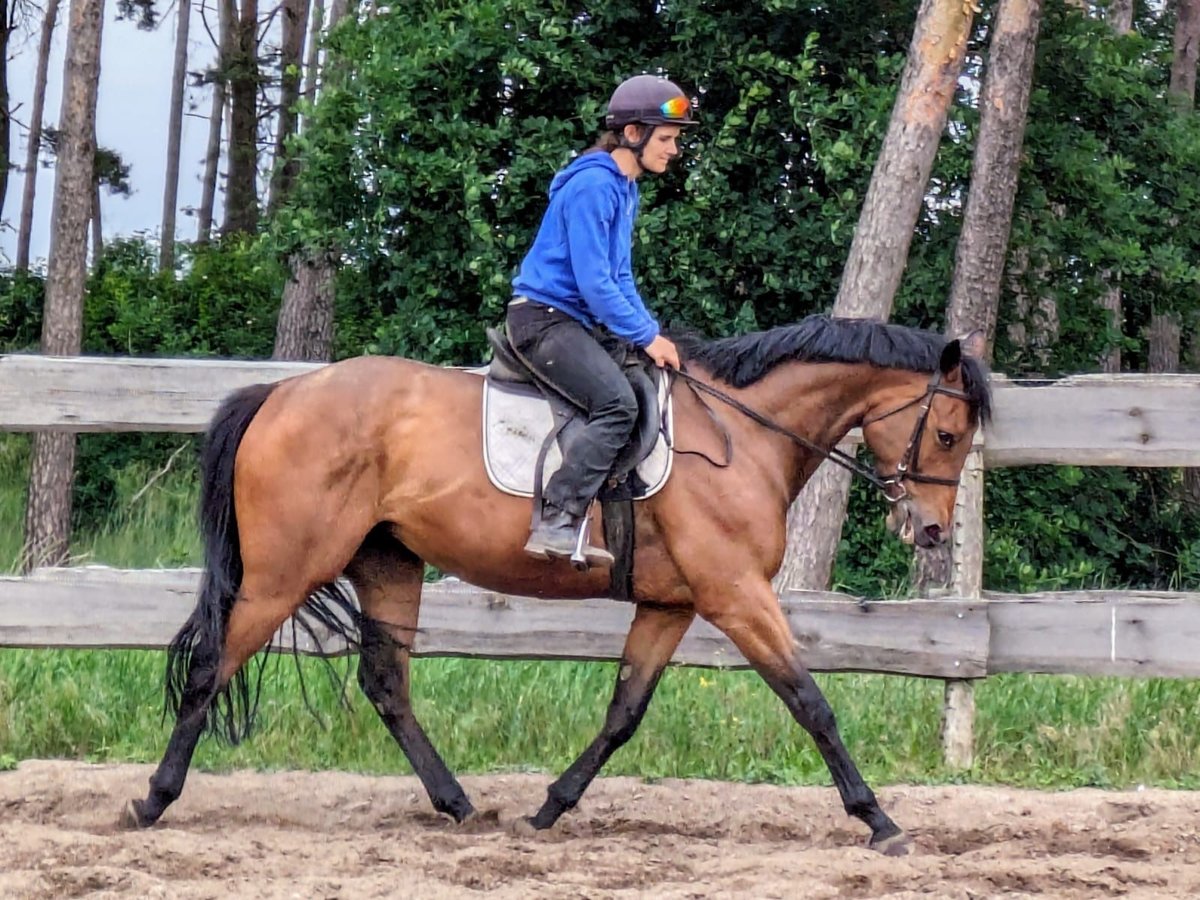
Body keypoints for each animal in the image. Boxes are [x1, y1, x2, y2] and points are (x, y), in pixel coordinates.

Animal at [121, 314, 988, 854]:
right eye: (948, 433)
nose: (931, 532)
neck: (743, 434)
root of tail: (281, 391)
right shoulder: (736, 594)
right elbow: (811, 701)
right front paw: (879, 820)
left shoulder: (672, 605)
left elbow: (623, 714)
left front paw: (550, 808)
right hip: (283, 572)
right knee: (212, 667)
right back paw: (153, 799)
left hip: (387, 563)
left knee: (386, 684)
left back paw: (460, 805)